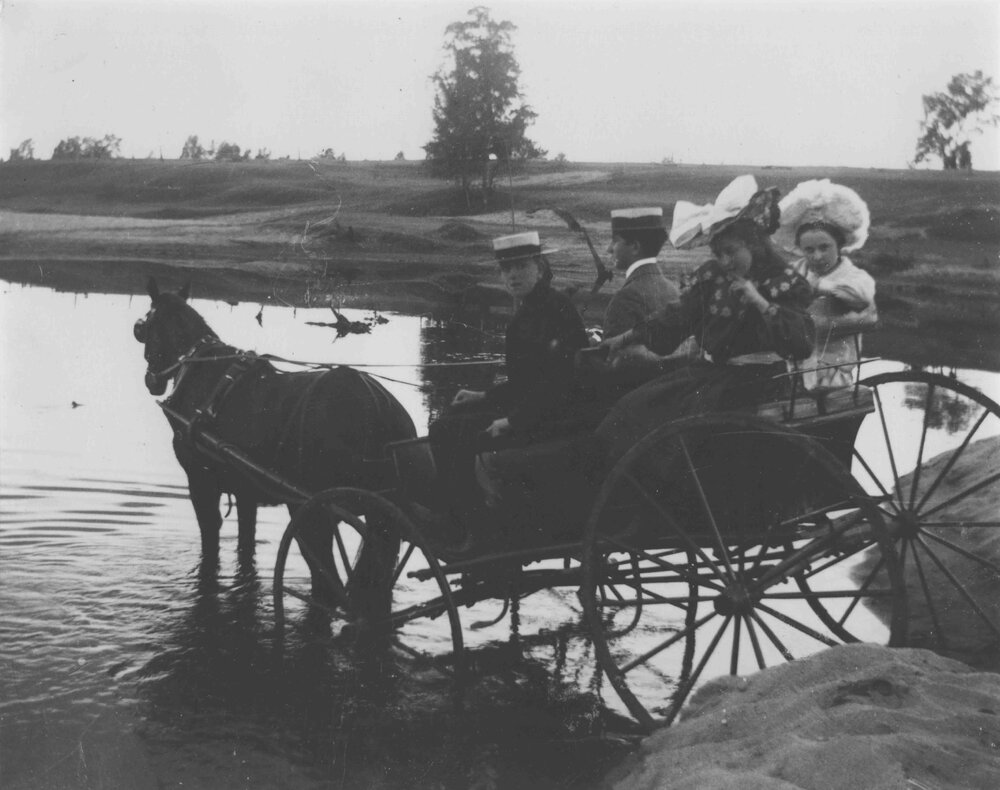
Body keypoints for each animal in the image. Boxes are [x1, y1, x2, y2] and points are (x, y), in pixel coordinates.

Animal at [133, 277, 417, 598]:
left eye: (143, 328)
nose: (152, 381)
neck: (201, 371)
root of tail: (379, 406)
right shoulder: (244, 491)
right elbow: (246, 547)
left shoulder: (201, 482)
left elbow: (211, 542)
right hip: (380, 517)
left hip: (313, 511)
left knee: (327, 581)